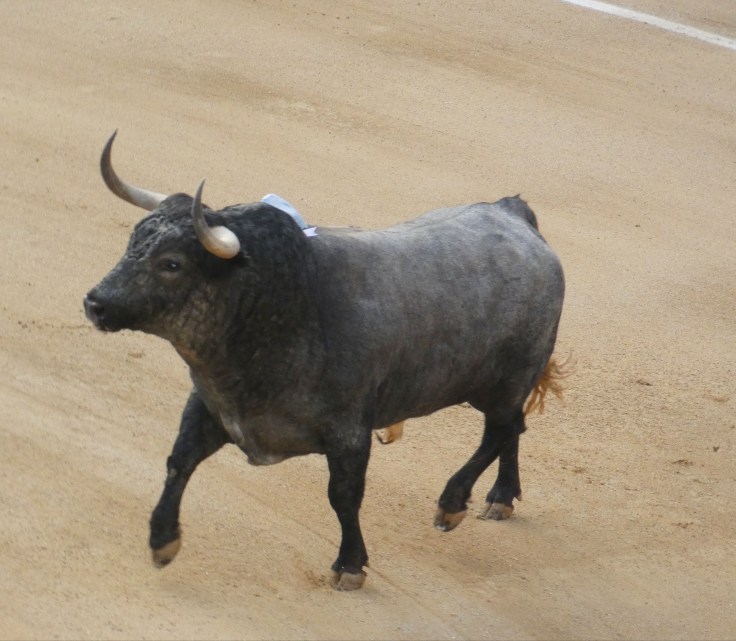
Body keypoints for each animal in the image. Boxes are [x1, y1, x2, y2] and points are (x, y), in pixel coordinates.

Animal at [84, 131, 565, 591]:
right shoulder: (209, 406)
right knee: (513, 427)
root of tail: (513, 213)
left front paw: (350, 565)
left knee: (501, 429)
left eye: (172, 263)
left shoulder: (349, 432)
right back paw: (501, 496)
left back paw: (453, 503)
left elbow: (343, 496)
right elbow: (179, 460)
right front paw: (162, 540)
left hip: (507, 379)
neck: (288, 309)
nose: (95, 303)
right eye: (132, 241)